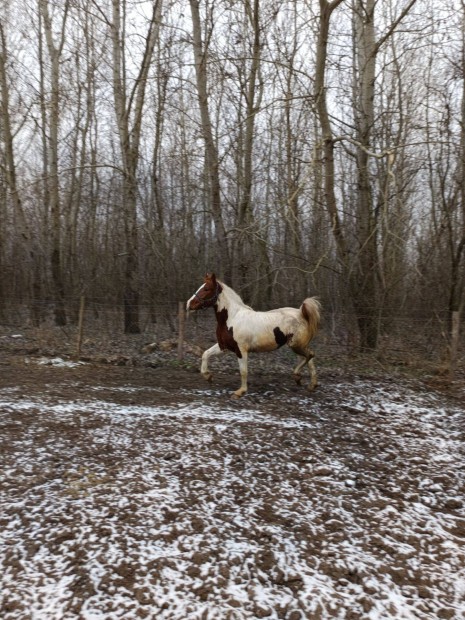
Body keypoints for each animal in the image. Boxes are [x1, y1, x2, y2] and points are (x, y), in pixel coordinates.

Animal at [185, 272, 320, 398]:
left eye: (207, 288)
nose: (188, 304)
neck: (232, 318)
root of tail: (302, 314)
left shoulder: (241, 350)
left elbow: (243, 371)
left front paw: (240, 392)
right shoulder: (223, 346)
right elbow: (205, 354)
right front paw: (208, 376)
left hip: (296, 345)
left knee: (310, 355)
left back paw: (298, 377)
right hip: (299, 345)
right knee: (310, 358)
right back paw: (310, 384)